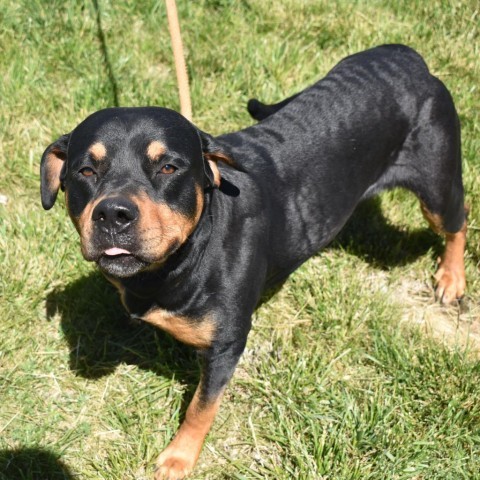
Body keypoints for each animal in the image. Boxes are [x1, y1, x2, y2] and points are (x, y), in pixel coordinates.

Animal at [39, 44, 466, 476]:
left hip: (436, 182)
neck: (190, 254)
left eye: (169, 167)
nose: (113, 214)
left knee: (457, 220)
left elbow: (201, 408)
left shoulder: (226, 344)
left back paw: (452, 279)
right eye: (85, 170)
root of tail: (404, 55)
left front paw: (178, 458)